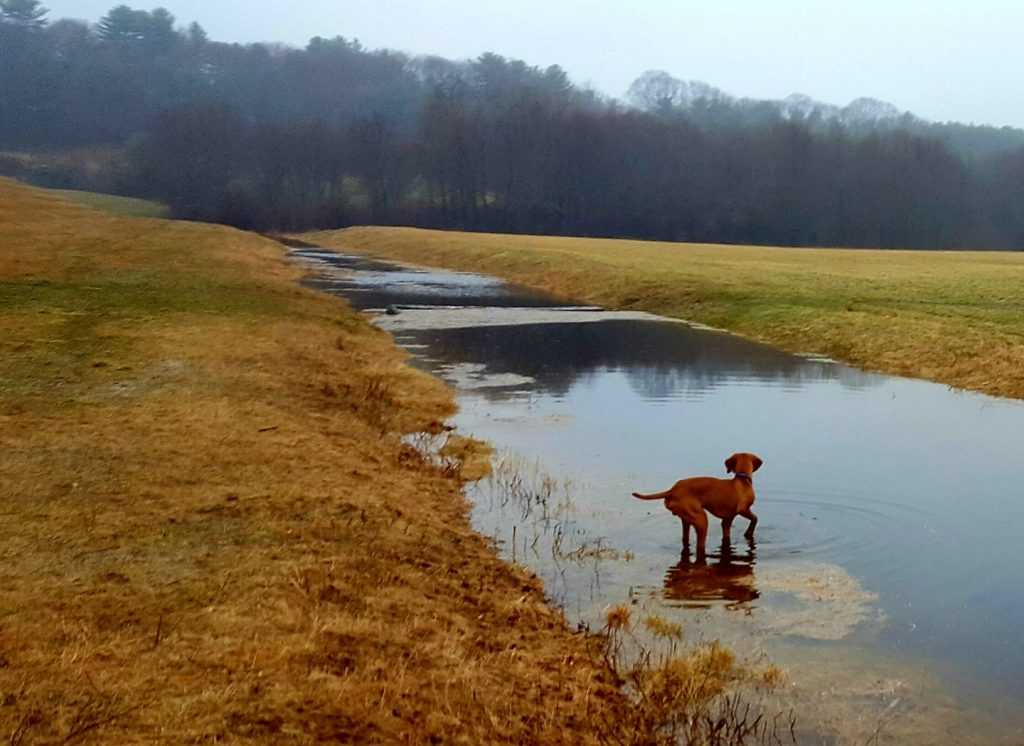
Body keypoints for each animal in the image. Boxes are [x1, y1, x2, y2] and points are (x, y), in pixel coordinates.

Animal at [626, 450, 765, 556]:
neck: (742, 479)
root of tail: (672, 490)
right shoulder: (743, 509)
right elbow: (755, 518)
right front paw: (748, 533)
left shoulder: (727, 520)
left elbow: (727, 532)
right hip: (701, 519)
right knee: (700, 545)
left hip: (686, 518)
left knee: (685, 537)